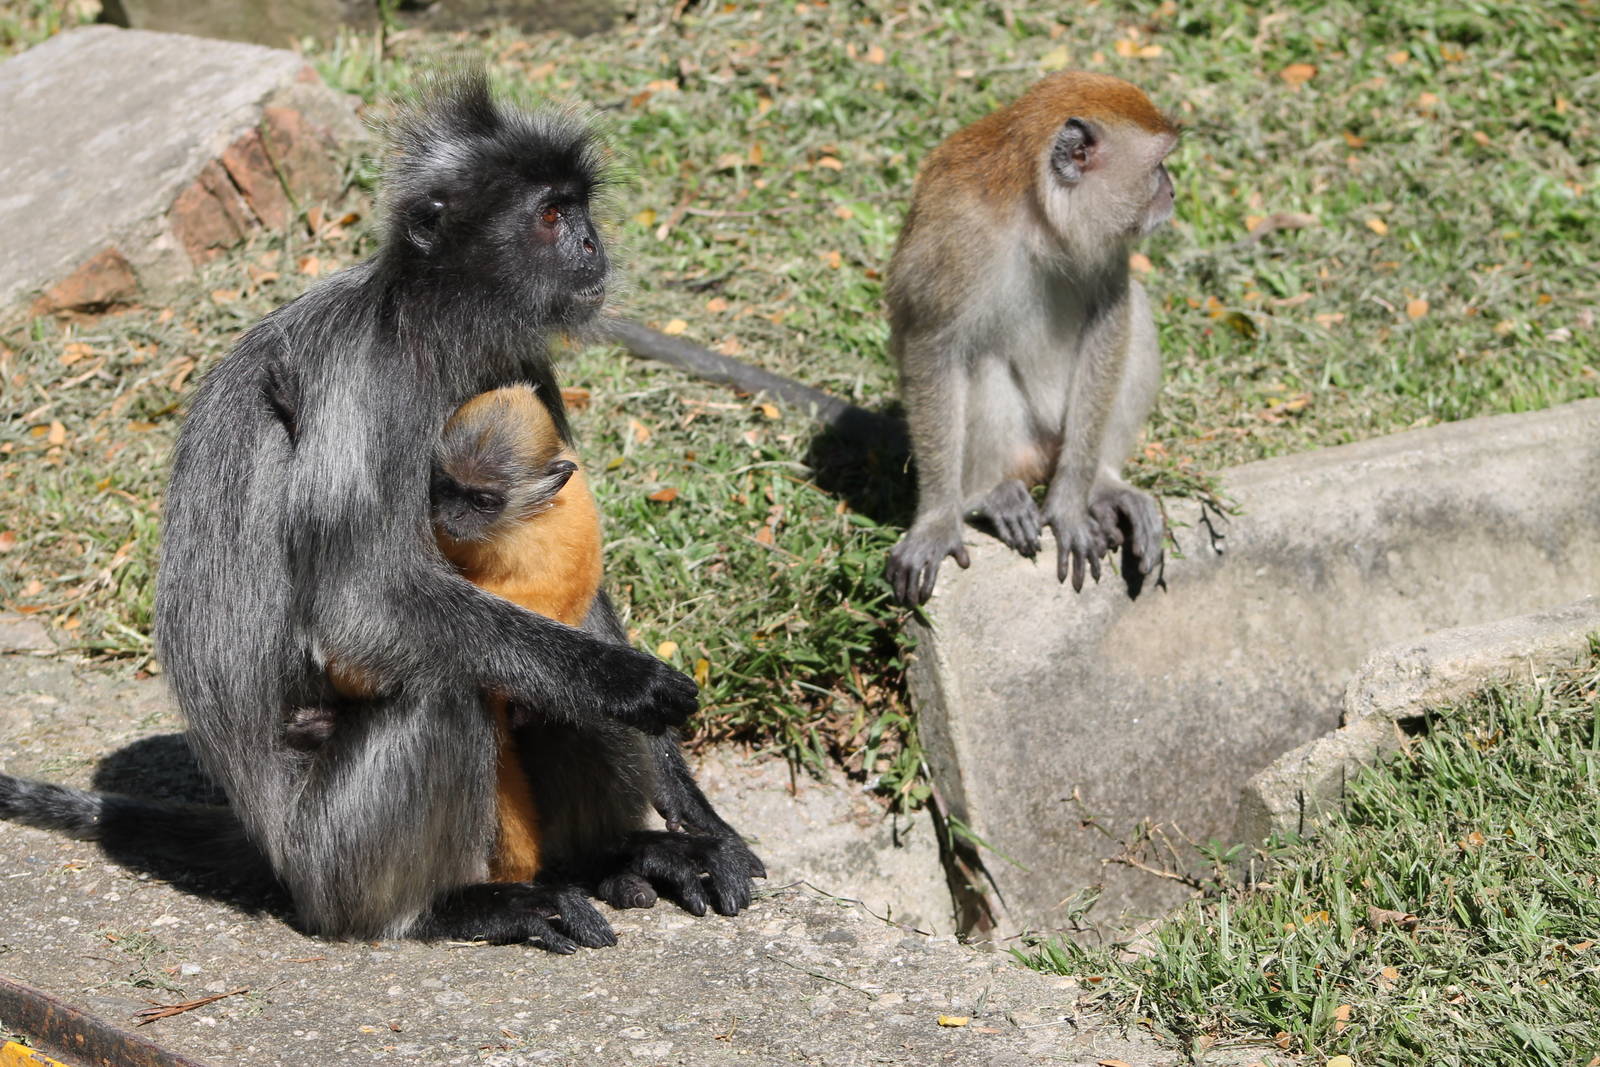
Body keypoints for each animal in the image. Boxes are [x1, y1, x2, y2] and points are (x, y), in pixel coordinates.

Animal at [0, 74, 762, 952]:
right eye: (549, 215)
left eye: (579, 209)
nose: (591, 245)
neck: (435, 335)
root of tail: (275, 850)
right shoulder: (371, 382)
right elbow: (361, 606)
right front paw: (623, 681)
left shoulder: (520, 369)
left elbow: (578, 575)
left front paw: (697, 817)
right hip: (332, 851)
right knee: (441, 687)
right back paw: (452, 906)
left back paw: (611, 856)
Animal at [883, 71, 1177, 606]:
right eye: (1156, 165)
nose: (1172, 191)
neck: (1038, 219)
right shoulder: (960, 241)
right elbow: (933, 350)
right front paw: (936, 520)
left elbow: (1111, 318)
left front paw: (1069, 506)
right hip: (1022, 447)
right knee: (978, 357)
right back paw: (988, 493)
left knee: (1137, 314)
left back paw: (1104, 484)